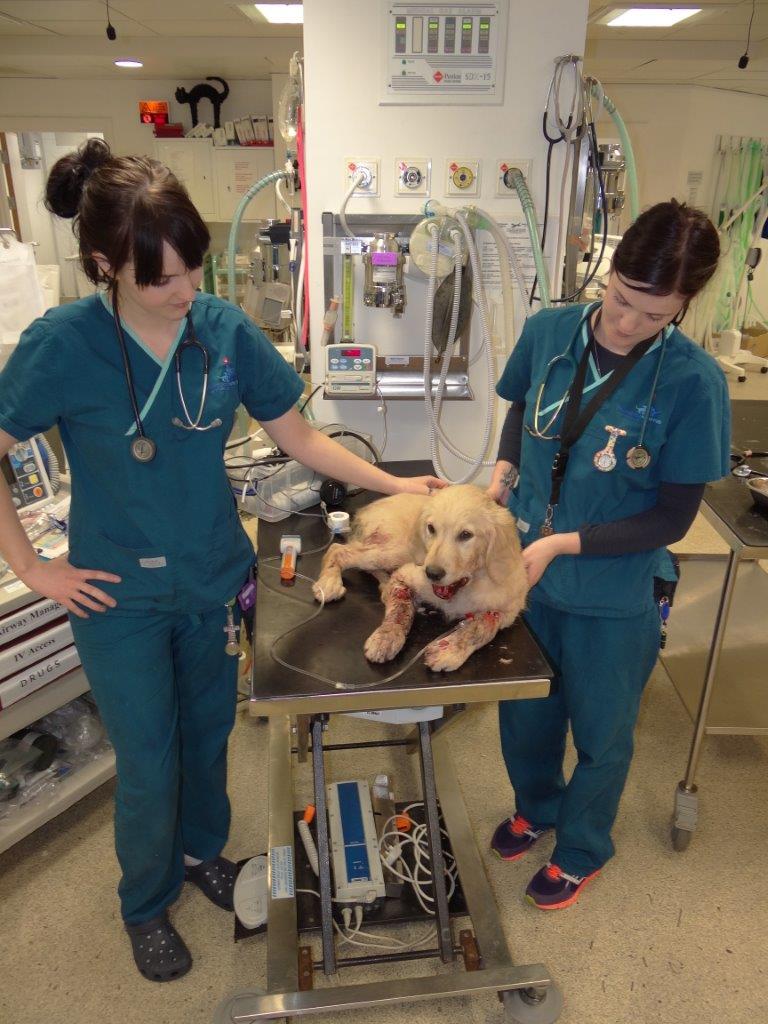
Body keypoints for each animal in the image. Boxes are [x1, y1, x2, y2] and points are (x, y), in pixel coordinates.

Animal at [313, 485, 528, 671]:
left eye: (466, 534)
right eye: (431, 528)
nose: (432, 573)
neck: (461, 586)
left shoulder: (509, 609)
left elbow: (482, 628)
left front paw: (450, 650)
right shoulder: (405, 574)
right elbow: (401, 610)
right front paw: (386, 637)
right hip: (400, 550)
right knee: (338, 550)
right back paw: (329, 583)